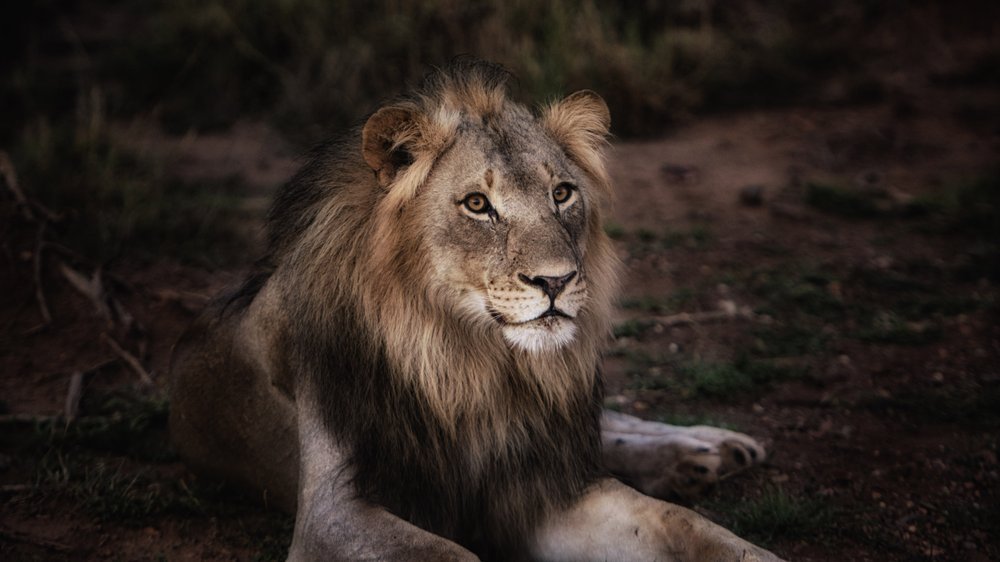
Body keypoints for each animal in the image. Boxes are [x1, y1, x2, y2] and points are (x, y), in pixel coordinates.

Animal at [168, 59, 784, 556]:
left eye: (562, 193)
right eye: (477, 204)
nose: (556, 280)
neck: (473, 367)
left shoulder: (545, 483)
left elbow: (691, 528)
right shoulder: (333, 512)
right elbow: (450, 553)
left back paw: (710, 448)